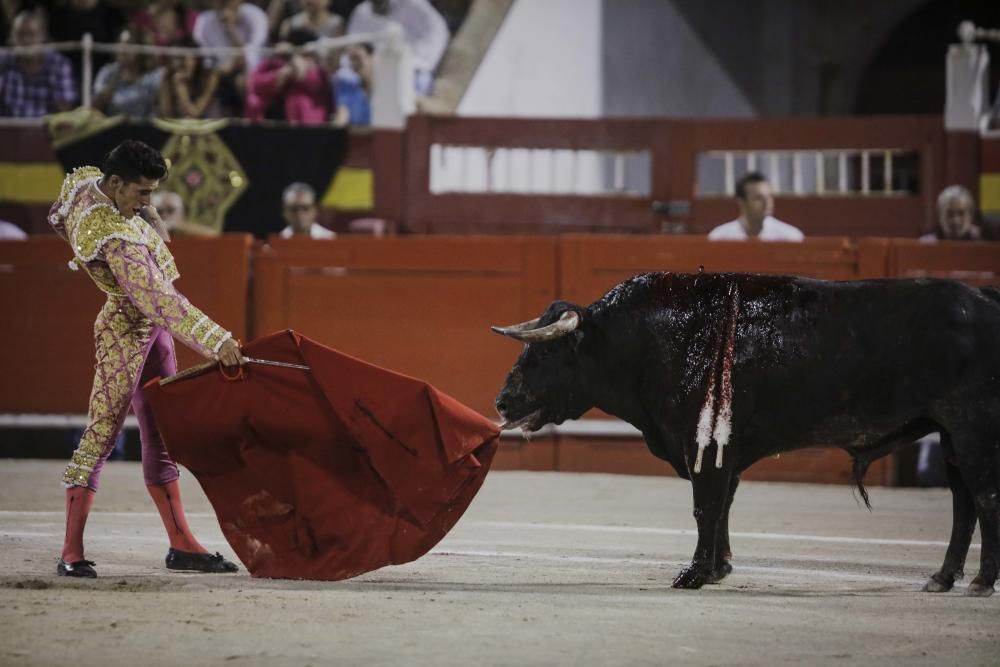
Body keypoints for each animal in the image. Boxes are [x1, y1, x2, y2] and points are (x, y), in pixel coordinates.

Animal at [492, 272, 1000, 596]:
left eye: (544, 355)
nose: (502, 402)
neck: (643, 340)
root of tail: (984, 298)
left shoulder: (702, 444)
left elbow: (705, 506)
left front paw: (694, 574)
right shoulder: (724, 449)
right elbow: (722, 507)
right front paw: (719, 569)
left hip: (971, 427)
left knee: (984, 496)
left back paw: (980, 582)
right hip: (951, 437)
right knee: (963, 502)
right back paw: (943, 578)